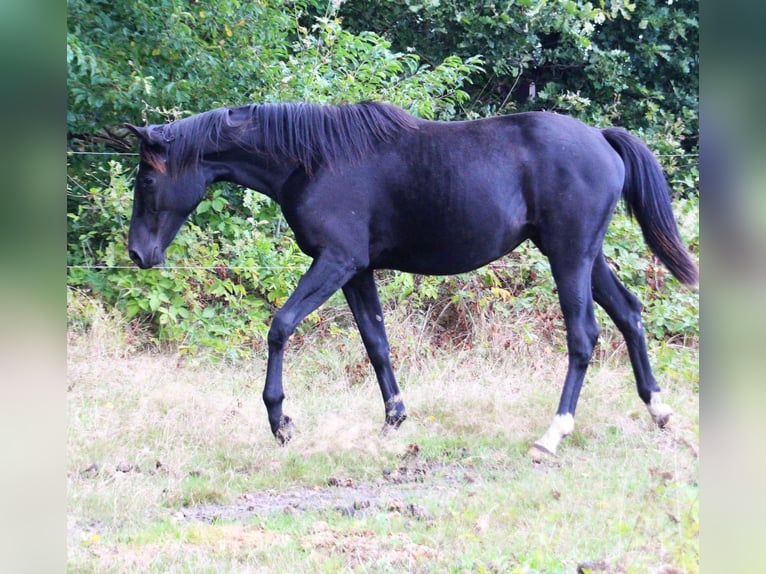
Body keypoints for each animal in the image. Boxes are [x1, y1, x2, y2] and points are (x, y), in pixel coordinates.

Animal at [127, 100, 704, 460]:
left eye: (148, 179)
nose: (138, 253)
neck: (314, 161)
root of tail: (602, 140)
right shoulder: (357, 270)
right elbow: (376, 343)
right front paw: (394, 419)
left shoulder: (335, 262)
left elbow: (280, 326)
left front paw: (280, 422)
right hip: (586, 256)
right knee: (629, 314)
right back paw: (659, 411)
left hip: (569, 257)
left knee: (584, 336)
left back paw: (552, 435)